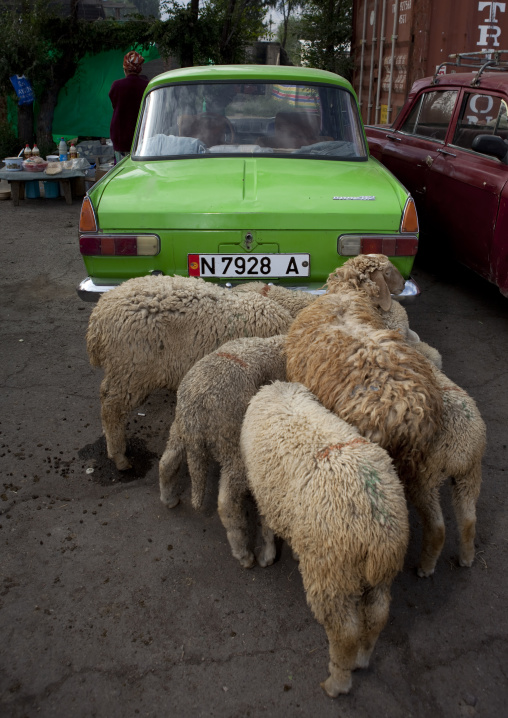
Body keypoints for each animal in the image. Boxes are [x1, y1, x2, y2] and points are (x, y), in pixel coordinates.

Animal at [86, 275, 293, 470]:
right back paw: (119, 456)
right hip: (131, 370)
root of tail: (98, 316)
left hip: (123, 371)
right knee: (111, 407)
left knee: (105, 396)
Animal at [159, 335, 287, 568]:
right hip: (232, 444)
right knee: (226, 503)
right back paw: (244, 554)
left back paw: (168, 498)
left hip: (179, 428)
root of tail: (195, 414)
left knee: (167, 462)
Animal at [240, 381, 409, 697]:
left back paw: (337, 682)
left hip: (331, 572)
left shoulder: (266, 493)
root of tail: (376, 524)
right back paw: (363, 657)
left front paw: (267, 555)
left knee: (344, 633)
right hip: (380, 574)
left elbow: (266, 525)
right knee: (377, 615)